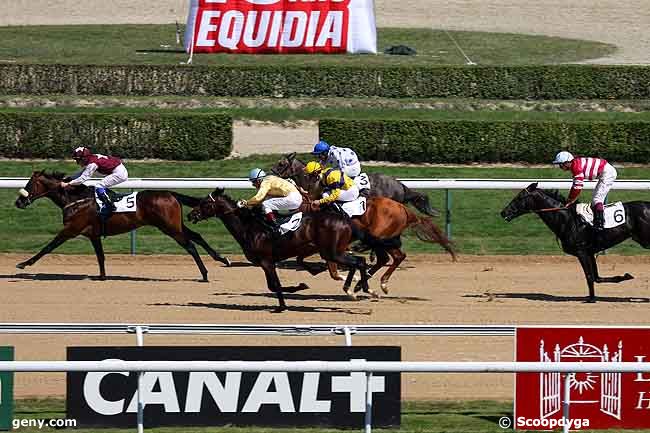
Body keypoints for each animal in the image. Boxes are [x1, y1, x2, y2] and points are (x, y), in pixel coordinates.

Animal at [12, 169, 230, 280]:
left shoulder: (70, 230)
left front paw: (23, 263)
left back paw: (205, 274)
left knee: (190, 245)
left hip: (169, 228)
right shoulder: (93, 234)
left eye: (30, 184)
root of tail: (171, 193)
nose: (19, 202)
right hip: (175, 225)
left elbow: (48, 247)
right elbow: (100, 256)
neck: (75, 199)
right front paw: (102, 276)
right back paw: (222, 259)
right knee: (197, 237)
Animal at [187, 187, 370, 312]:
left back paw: (361, 289)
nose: (190, 215)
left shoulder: (267, 261)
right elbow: (272, 286)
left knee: (358, 262)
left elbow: (275, 285)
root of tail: (346, 220)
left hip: (331, 252)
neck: (249, 227)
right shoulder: (266, 263)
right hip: (335, 250)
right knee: (359, 261)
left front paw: (282, 305)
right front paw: (299, 287)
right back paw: (357, 289)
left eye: (205, 203)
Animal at [498, 182, 644, 300]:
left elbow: (590, 277)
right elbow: (596, 277)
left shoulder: (581, 252)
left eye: (519, 197)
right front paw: (624, 277)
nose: (503, 212)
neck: (567, 219)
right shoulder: (590, 252)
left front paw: (591, 299)